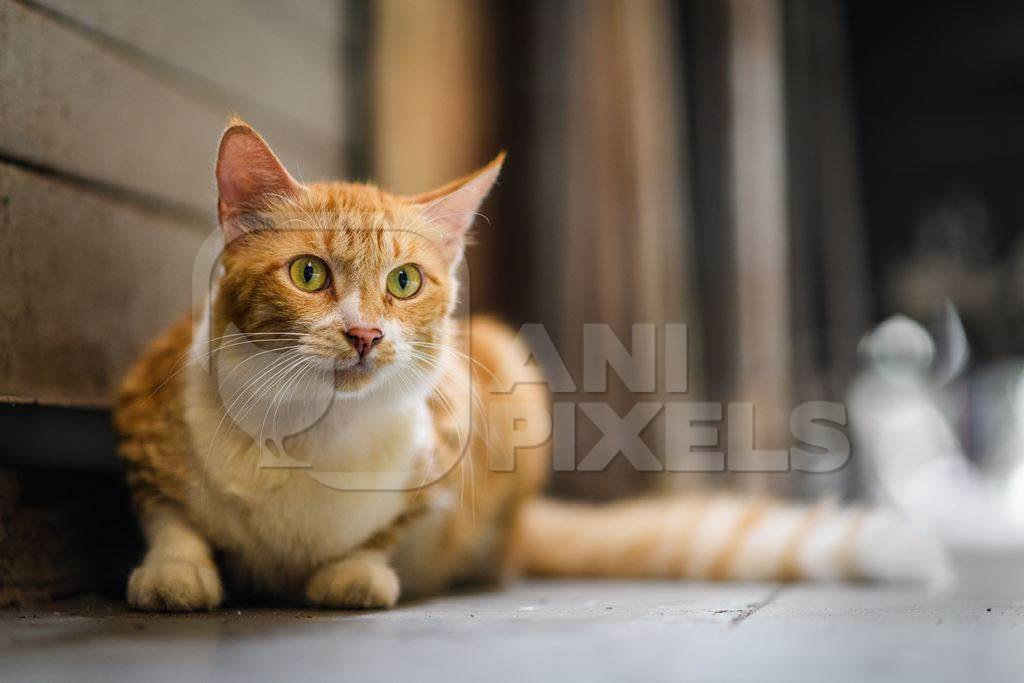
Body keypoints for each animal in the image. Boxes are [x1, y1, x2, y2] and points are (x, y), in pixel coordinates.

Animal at [114, 120, 942, 610]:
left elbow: (385, 531)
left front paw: (356, 570)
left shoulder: (455, 440)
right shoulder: (140, 410)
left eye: (405, 281)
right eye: (309, 274)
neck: (307, 435)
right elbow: (169, 514)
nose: (365, 335)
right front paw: (176, 570)